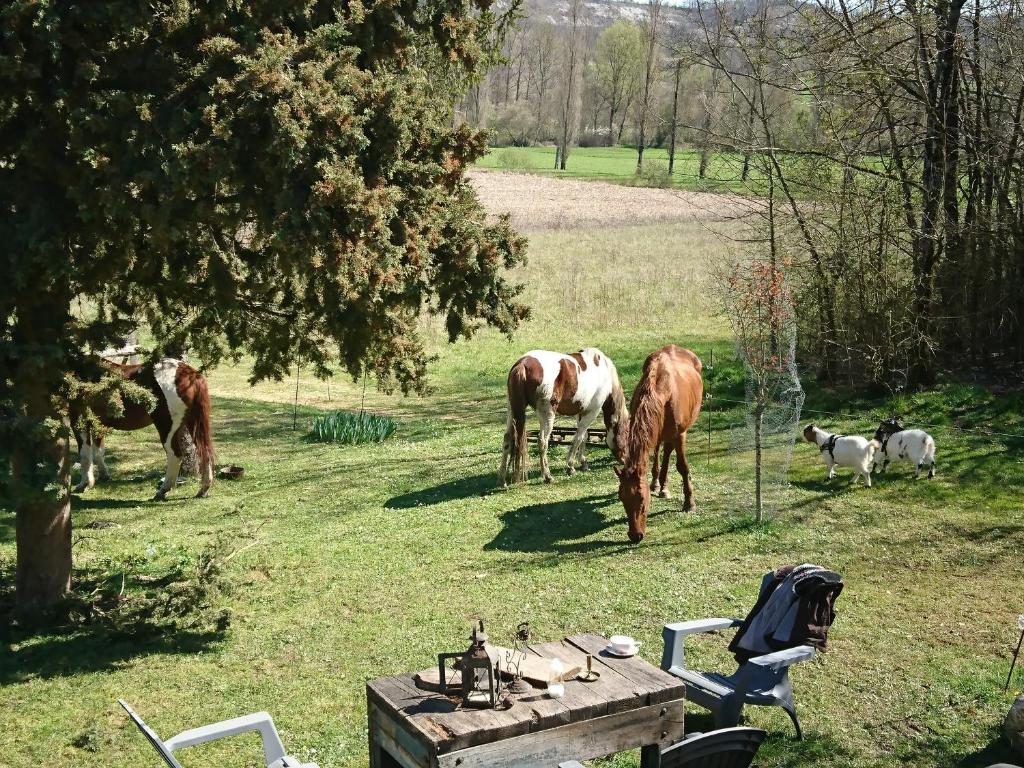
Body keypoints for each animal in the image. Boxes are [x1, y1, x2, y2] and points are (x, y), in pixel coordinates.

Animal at [74, 362, 216, 505]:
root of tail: (190, 374)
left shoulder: (79, 420)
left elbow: (84, 454)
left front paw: (84, 484)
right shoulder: (98, 424)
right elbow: (98, 451)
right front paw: (104, 475)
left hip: (166, 427)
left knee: (175, 456)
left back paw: (162, 491)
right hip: (193, 424)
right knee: (204, 452)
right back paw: (203, 490)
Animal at [499, 348, 626, 487]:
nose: (624, 460)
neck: (604, 372)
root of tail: (523, 363)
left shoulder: (581, 412)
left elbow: (584, 436)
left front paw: (583, 462)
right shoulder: (592, 411)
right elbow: (578, 438)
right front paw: (570, 466)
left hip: (512, 410)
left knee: (507, 439)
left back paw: (503, 480)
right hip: (548, 415)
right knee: (542, 441)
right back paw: (548, 476)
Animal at [610, 346, 700, 544]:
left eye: (642, 499)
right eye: (622, 499)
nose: (635, 535)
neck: (663, 391)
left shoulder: (680, 434)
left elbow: (683, 467)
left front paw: (689, 503)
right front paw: (657, 484)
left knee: (668, 450)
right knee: (661, 451)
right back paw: (659, 484)